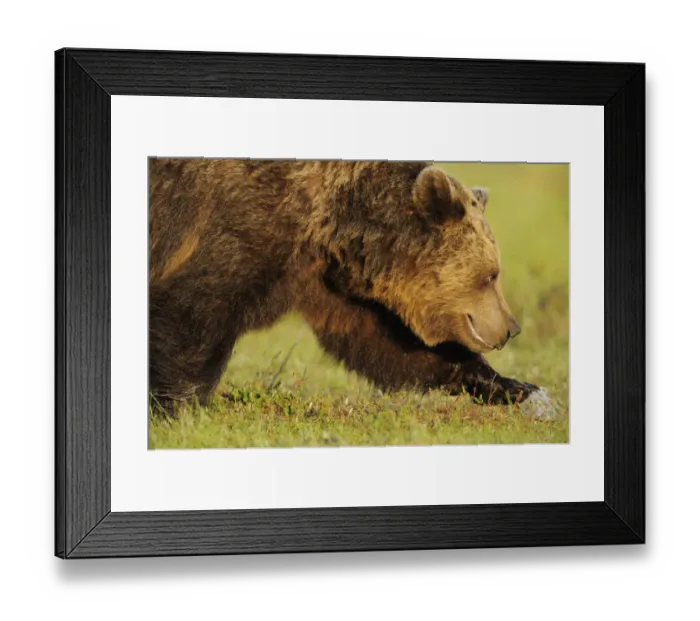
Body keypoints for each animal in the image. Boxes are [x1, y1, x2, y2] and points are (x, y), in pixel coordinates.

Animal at [148, 158, 550, 413]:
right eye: (491, 275)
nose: (511, 327)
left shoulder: (323, 277)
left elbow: (385, 342)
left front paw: (517, 387)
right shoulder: (241, 223)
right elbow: (195, 313)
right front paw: (182, 407)